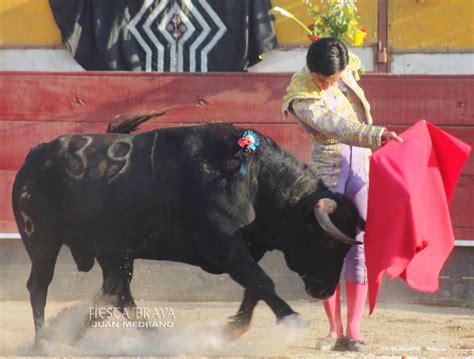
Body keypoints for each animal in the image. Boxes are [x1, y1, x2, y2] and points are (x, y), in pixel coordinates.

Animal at [12, 122, 362, 338]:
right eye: (329, 244)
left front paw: (233, 329)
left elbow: (254, 286)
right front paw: (292, 319)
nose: (324, 292)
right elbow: (261, 281)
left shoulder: (250, 247)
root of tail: (36, 154)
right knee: (39, 287)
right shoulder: (222, 244)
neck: (254, 178)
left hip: (110, 251)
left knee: (116, 293)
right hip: (41, 241)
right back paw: (43, 340)